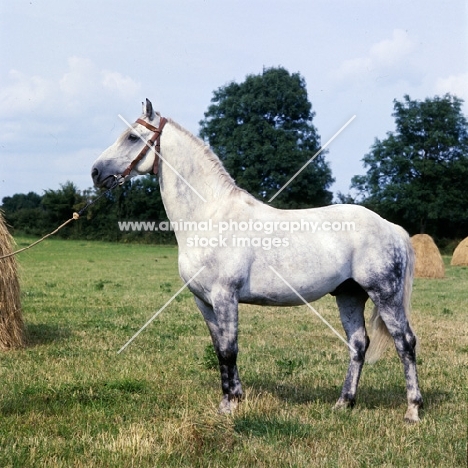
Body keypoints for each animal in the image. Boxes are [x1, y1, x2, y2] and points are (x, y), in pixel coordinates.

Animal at [92, 100, 424, 422]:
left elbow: (229, 350)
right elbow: (219, 349)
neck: (209, 216)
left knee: (405, 342)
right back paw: (344, 403)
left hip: (385, 294)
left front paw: (229, 406)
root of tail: (391, 227)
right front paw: (234, 398)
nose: (96, 172)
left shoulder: (225, 296)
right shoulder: (204, 301)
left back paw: (412, 410)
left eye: (132, 137)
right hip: (349, 295)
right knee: (358, 344)